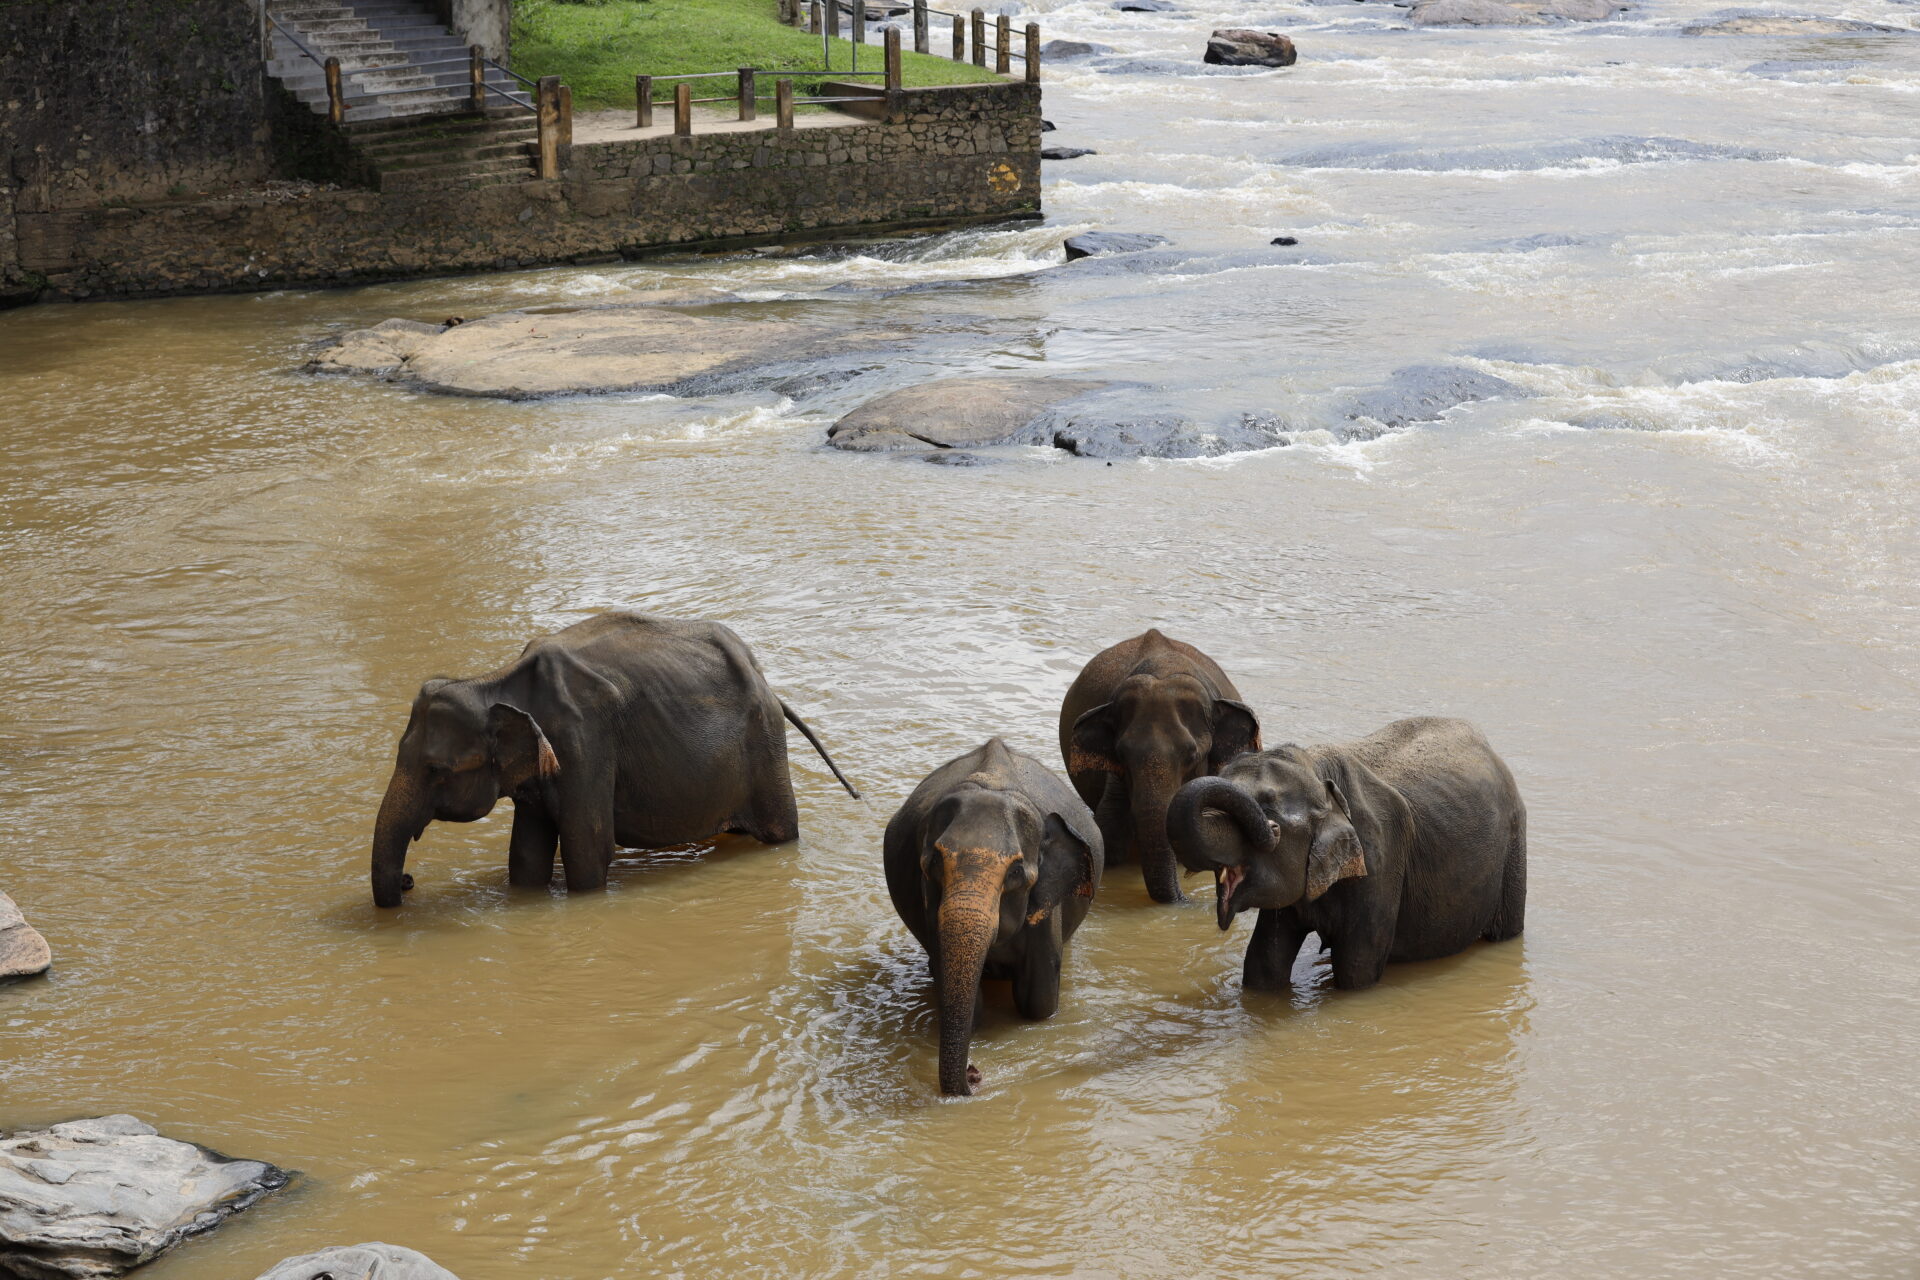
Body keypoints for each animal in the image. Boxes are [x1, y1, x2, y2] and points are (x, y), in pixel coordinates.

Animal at [370, 614, 860, 905]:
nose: (408, 882)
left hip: (766, 746)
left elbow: (588, 847)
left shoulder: (585, 745)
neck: (496, 680)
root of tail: (766, 681)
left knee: (781, 830)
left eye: (437, 771)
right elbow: (526, 855)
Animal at [1159, 717, 1520, 997]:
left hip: (1515, 840)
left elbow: (1356, 967)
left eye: (1270, 814)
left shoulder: (1379, 858)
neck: (1319, 773)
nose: (1271, 829)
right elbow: (1265, 961)